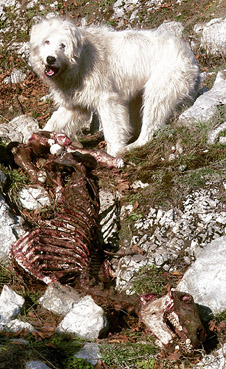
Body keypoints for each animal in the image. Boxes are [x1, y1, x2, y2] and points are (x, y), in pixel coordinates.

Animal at [28, 16, 200, 155]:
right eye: (47, 41)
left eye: (63, 45)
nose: (50, 59)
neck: (79, 61)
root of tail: (189, 54)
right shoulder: (74, 104)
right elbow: (56, 121)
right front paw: (39, 136)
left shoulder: (107, 99)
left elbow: (113, 125)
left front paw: (114, 151)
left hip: (161, 88)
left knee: (151, 124)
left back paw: (133, 145)